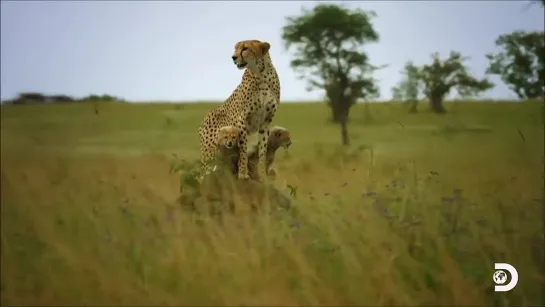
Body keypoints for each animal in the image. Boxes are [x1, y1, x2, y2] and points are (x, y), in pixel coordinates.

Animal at [197, 39, 280, 182]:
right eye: (235, 49)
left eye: (245, 48)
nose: (233, 57)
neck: (261, 74)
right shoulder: (242, 119)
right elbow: (243, 149)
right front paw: (242, 174)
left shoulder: (266, 121)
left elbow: (262, 151)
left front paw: (262, 176)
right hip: (210, 150)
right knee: (205, 170)